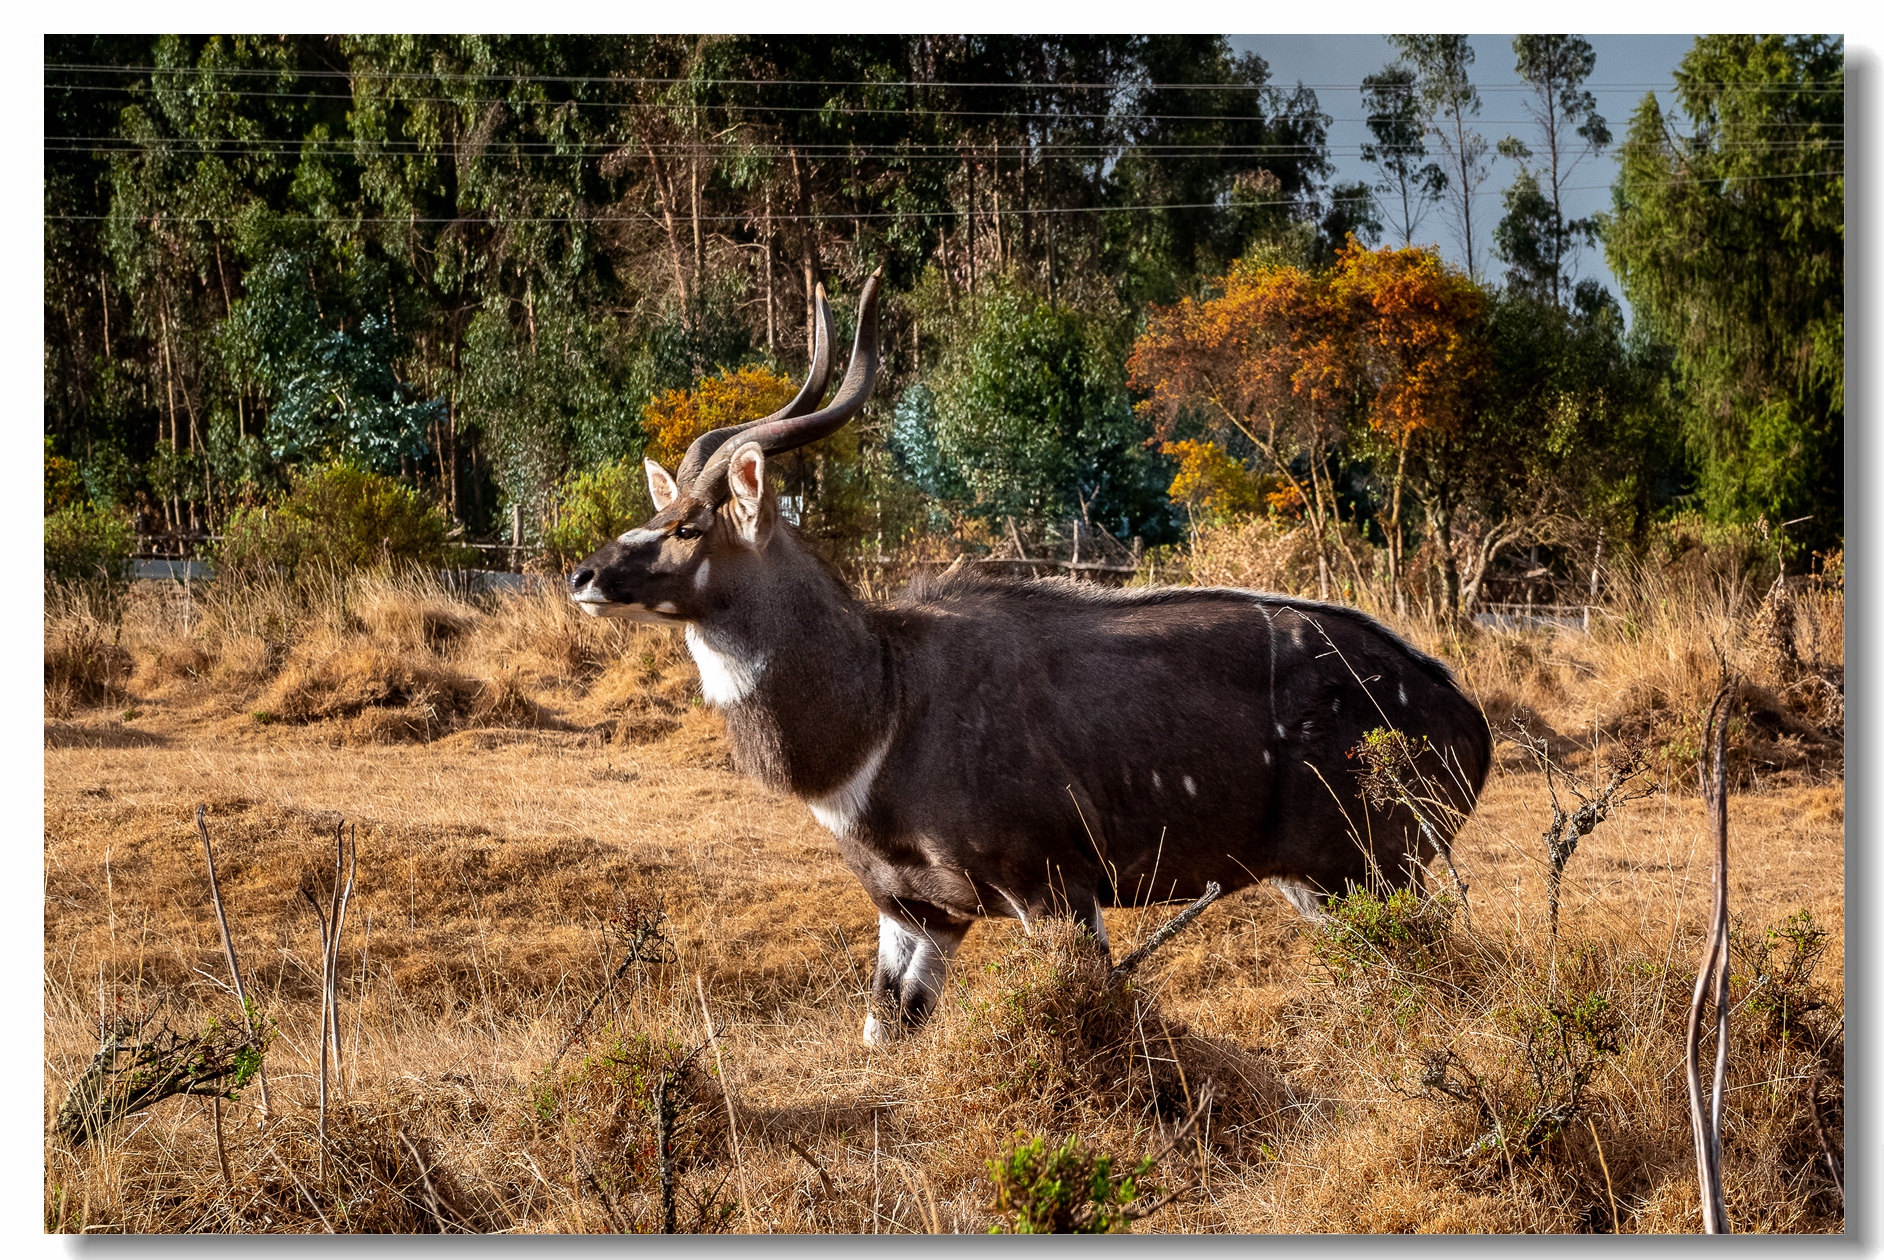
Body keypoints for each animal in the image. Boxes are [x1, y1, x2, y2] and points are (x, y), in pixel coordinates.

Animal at [565, 273, 1492, 1039]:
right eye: (663, 510)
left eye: (691, 526)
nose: (584, 574)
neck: (884, 705)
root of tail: (1468, 722)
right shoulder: (921, 913)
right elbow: (888, 1029)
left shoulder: (1057, 890)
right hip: (1319, 883)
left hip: (1368, 870)